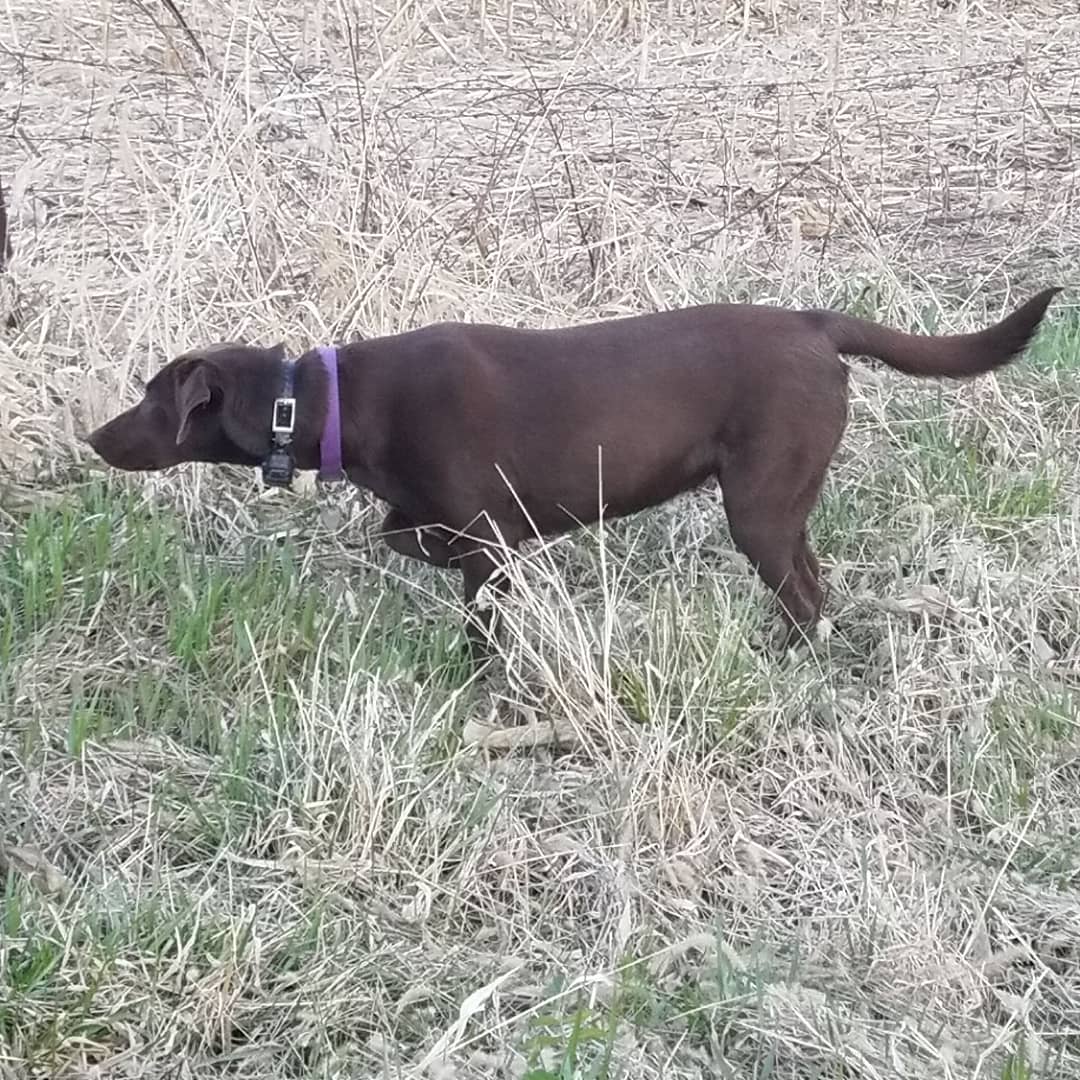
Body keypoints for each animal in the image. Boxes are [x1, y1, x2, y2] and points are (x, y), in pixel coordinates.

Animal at [86, 289, 1062, 656]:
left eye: (151, 399)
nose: (94, 438)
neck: (327, 401)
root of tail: (815, 323)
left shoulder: (485, 535)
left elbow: (470, 592)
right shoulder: (455, 524)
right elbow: (404, 533)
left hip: (757, 504)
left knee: (803, 590)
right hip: (779, 502)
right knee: (812, 579)